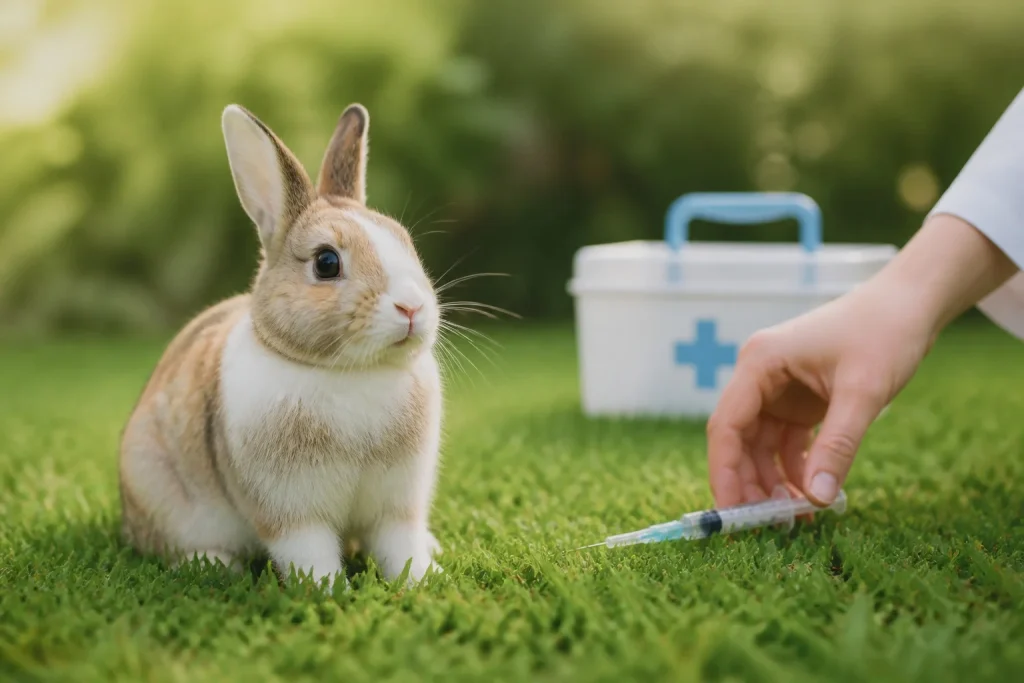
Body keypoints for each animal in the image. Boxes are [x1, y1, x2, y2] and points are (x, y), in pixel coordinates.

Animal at [117, 102, 444, 589]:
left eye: (406, 243)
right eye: (326, 262)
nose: (412, 307)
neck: (351, 373)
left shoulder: (396, 506)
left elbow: (399, 546)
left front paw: (424, 580)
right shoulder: (291, 512)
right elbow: (310, 553)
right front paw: (329, 592)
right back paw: (213, 564)